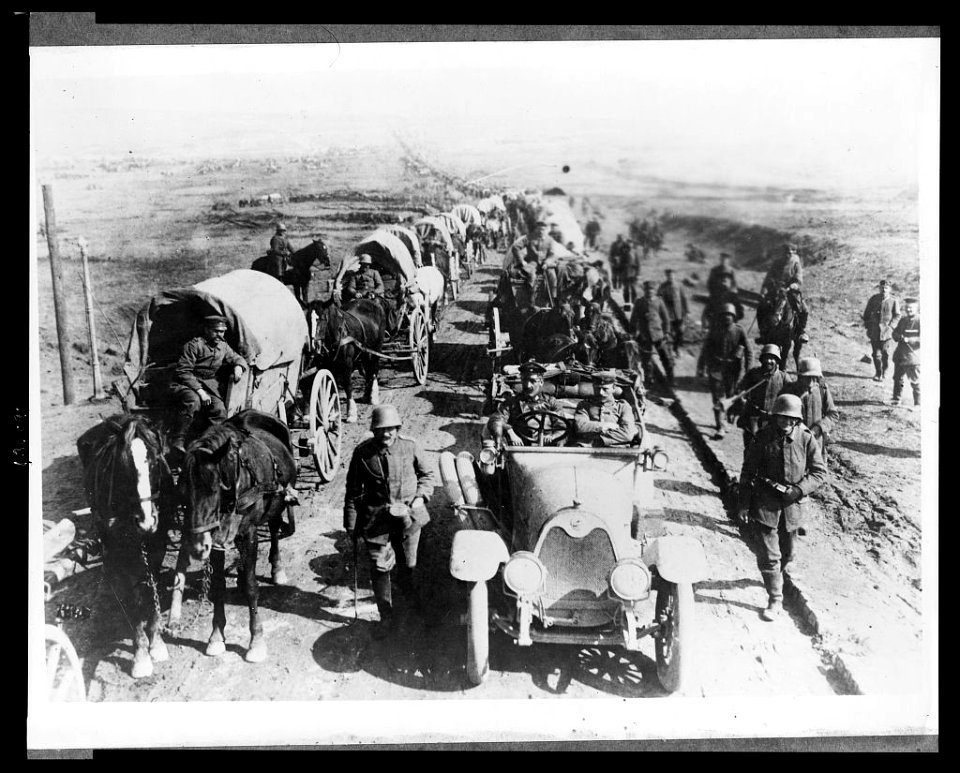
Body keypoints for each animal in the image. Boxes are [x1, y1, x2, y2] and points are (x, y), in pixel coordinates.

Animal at [77, 416, 186, 676]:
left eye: (156, 462)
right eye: (123, 466)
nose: (146, 521)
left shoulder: (157, 544)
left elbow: (150, 587)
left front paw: (156, 643)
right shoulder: (121, 552)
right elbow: (134, 600)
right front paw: (141, 655)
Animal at [178, 410, 298, 664]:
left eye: (214, 488)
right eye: (183, 490)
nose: (197, 547)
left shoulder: (248, 533)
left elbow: (253, 587)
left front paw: (256, 641)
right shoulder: (216, 541)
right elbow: (218, 587)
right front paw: (215, 636)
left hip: (277, 502)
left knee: (274, 529)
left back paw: (277, 568)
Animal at [306, 292, 384, 422]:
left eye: (322, 318)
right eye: (307, 320)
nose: (314, 345)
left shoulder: (347, 364)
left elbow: (348, 385)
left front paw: (351, 413)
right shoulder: (330, 366)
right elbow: (332, 388)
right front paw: (332, 412)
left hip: (376, 349)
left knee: (374, 369)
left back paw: (373, 396)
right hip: (364, 352)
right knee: (368, 370)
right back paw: (366, 395)